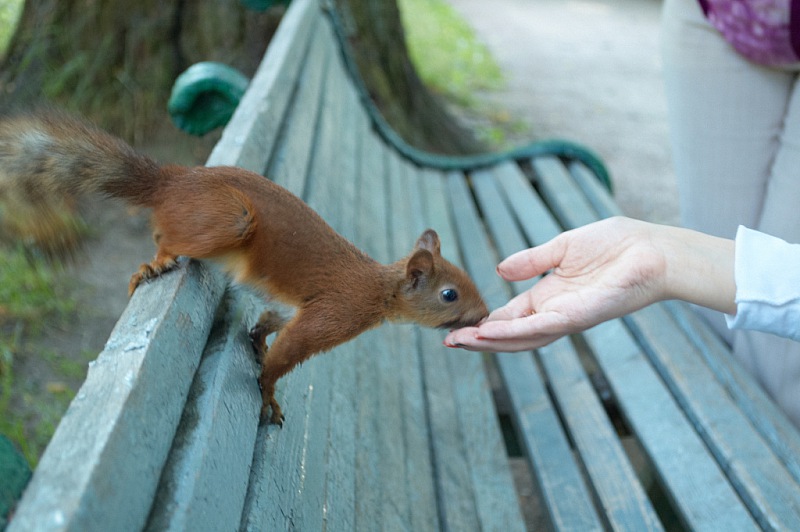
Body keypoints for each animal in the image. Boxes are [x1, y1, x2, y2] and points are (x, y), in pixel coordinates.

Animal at [0, 111, 488, 424]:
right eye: (449, 294)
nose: (484, 315)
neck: (380, 289)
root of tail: (171, 183)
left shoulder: (290, 309)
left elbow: (268, 323)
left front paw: (256, 342)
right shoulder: (333, 313)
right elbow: (286, 355)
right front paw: (268, 393)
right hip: (232, 219)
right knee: (166, 239)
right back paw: (156, 263)